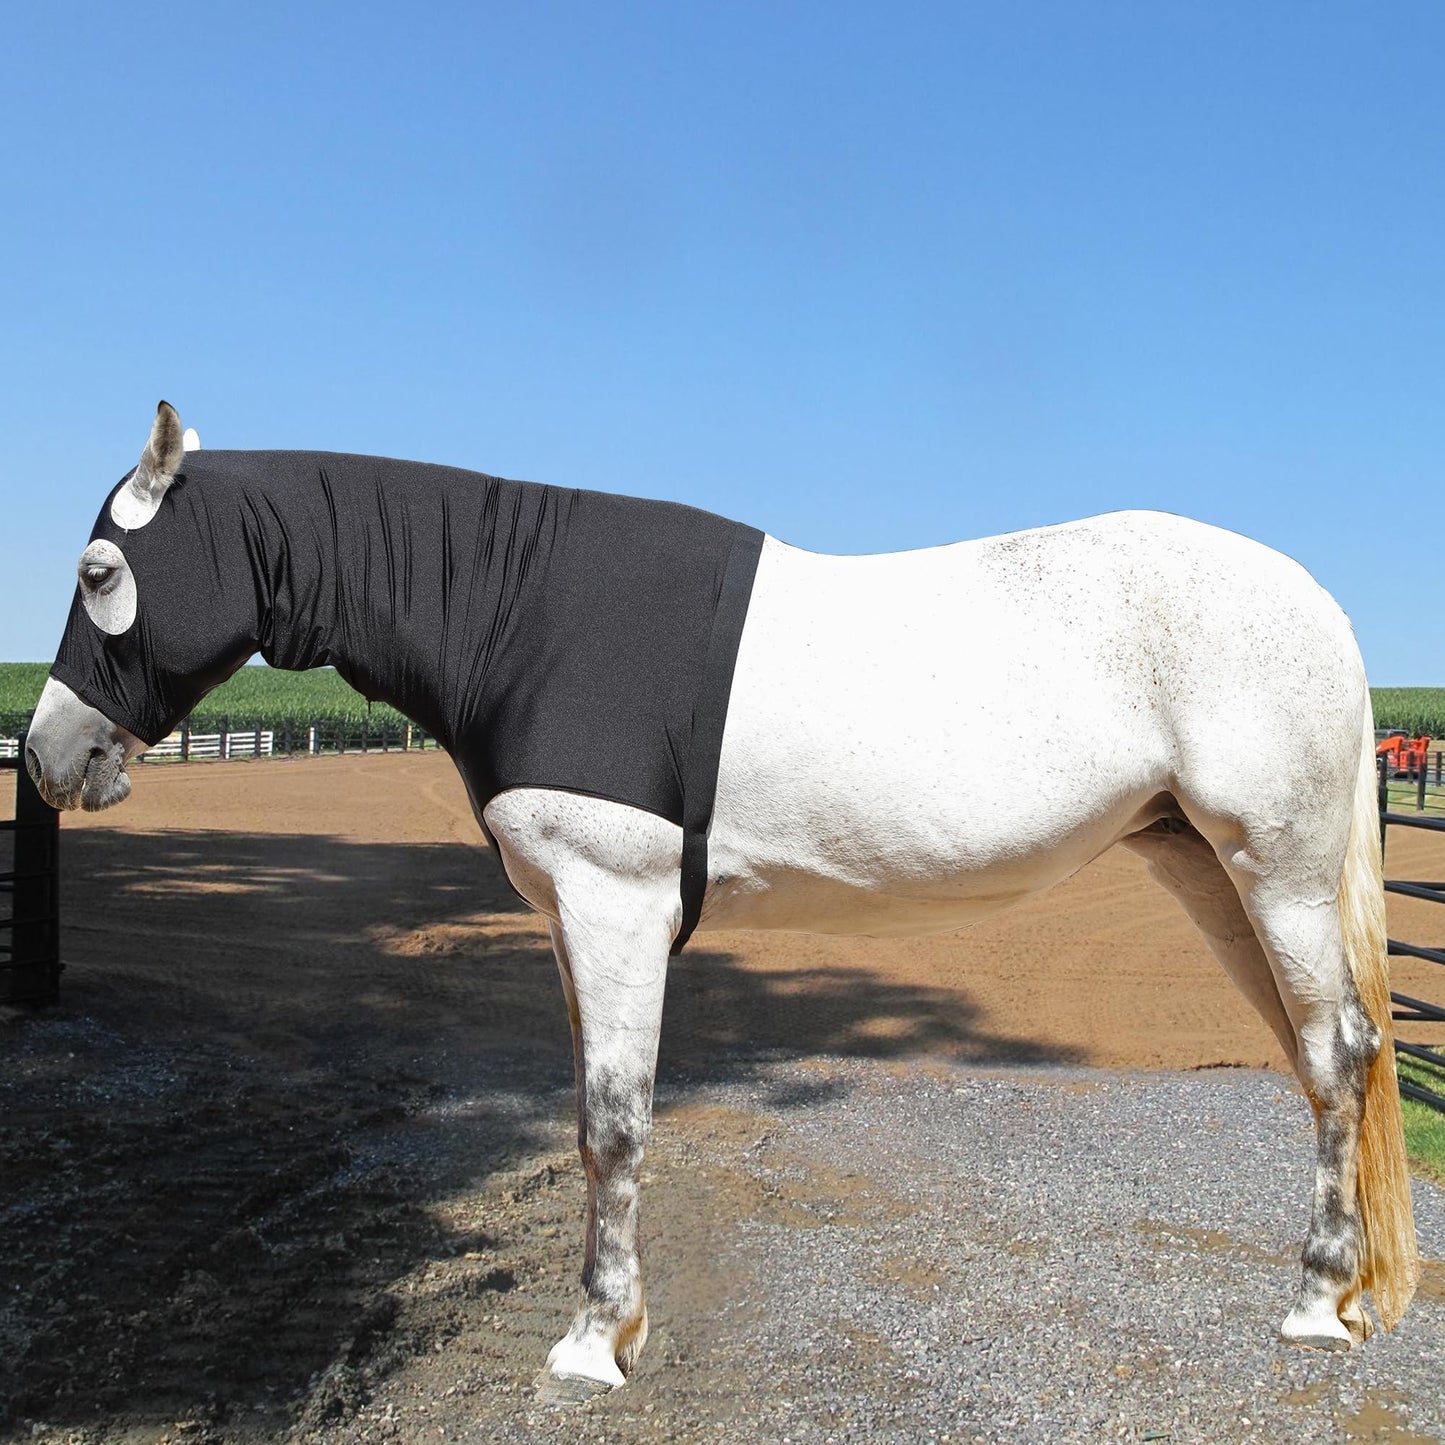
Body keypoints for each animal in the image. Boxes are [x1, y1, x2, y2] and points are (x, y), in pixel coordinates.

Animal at [25, 402, 1419, 1400]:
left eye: (99, 570)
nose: (46, 756)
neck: (519, 606)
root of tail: (1319, 606)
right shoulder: (570, 921)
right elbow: (589, 1114)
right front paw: (610, 1320)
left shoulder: (616, 903)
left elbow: (613, 1125)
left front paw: (591, 1344)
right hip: (1210, 869)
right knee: (1318, 1055)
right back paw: (1334, 1288)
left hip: (1277, 870)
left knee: (1337, 1054)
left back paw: (1313, 1305)